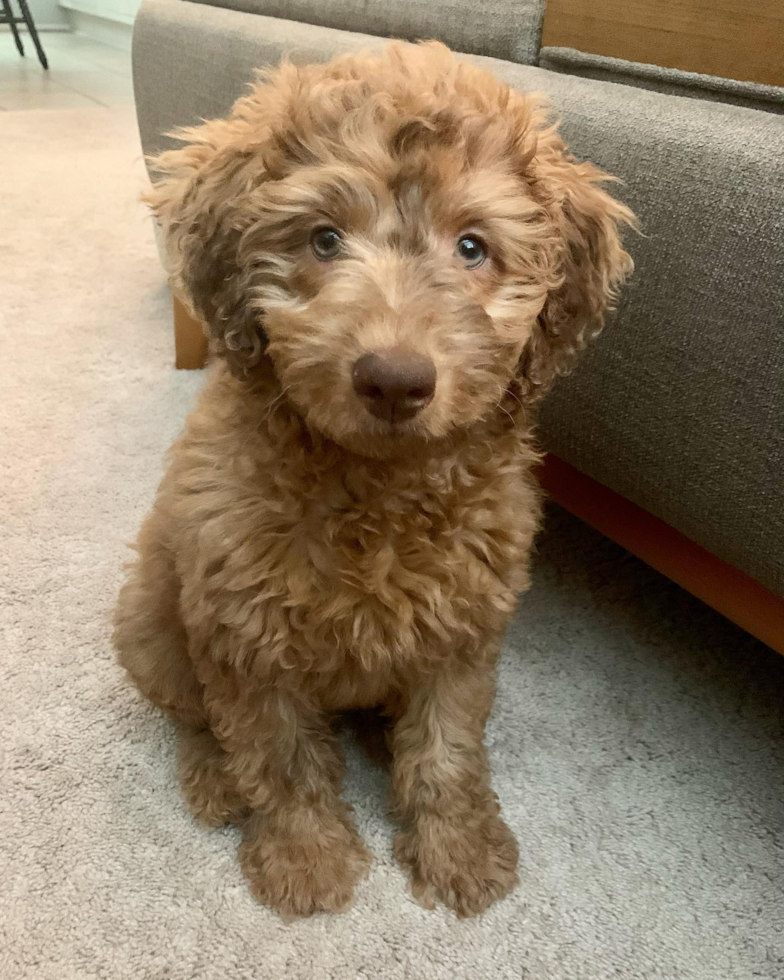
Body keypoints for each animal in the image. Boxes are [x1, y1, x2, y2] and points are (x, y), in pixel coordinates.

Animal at [113, 42, 632, 920]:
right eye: (324, 239)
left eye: (471, 247)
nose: (394, 380)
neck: (377, 487)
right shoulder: (245, 630)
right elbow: (280, 757)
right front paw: (306, 860)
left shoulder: (464, 625)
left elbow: (447, 751)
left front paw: (460, 851)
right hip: (149, 619)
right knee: (192, 713)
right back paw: (215, 777)